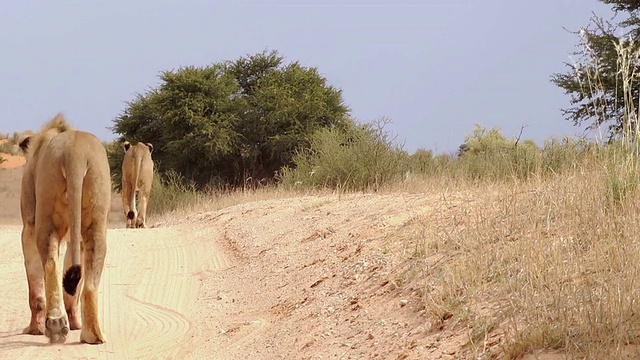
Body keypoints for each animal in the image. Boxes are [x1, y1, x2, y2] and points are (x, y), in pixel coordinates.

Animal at [18, 114, 109, 344]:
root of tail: (75, 152)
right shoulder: (75, 240)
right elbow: (72, 289)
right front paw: (75, 323)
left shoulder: (28, 228)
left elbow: (35, 290)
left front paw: (33, 329)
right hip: (95, 219)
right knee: (89, 283)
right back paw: (91, 335)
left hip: (46, 218)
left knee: (50, 265)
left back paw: (56, 325)